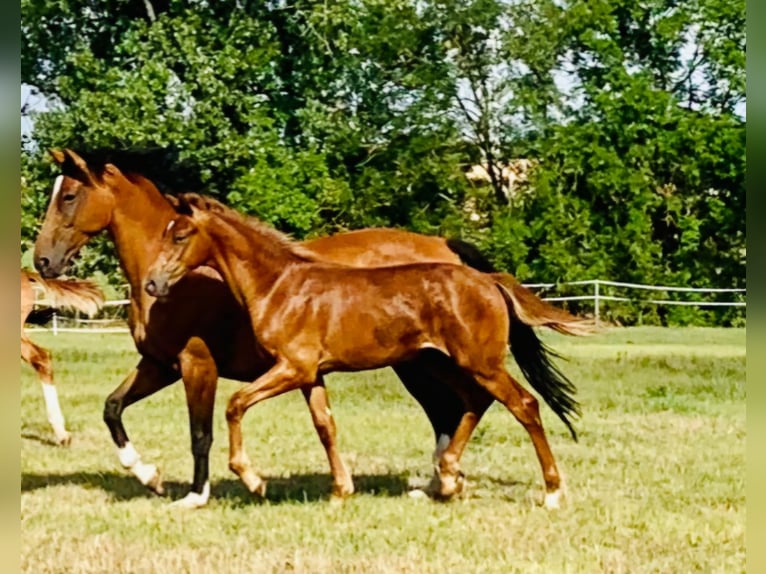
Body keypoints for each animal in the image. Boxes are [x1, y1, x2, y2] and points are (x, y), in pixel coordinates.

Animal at [146, 196, 592, 510]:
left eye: (180, 235)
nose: (152, 283)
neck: (280, 286)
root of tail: (488, 280)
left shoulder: (292, 368)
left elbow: (236, 404)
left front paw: (253, 480)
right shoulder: (311, 375)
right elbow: (325, 425)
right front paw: (340, 492)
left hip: (478, 363)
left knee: (523, 404)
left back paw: (551, 492)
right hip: (441, 363)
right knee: (474, 402)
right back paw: (449, 478)